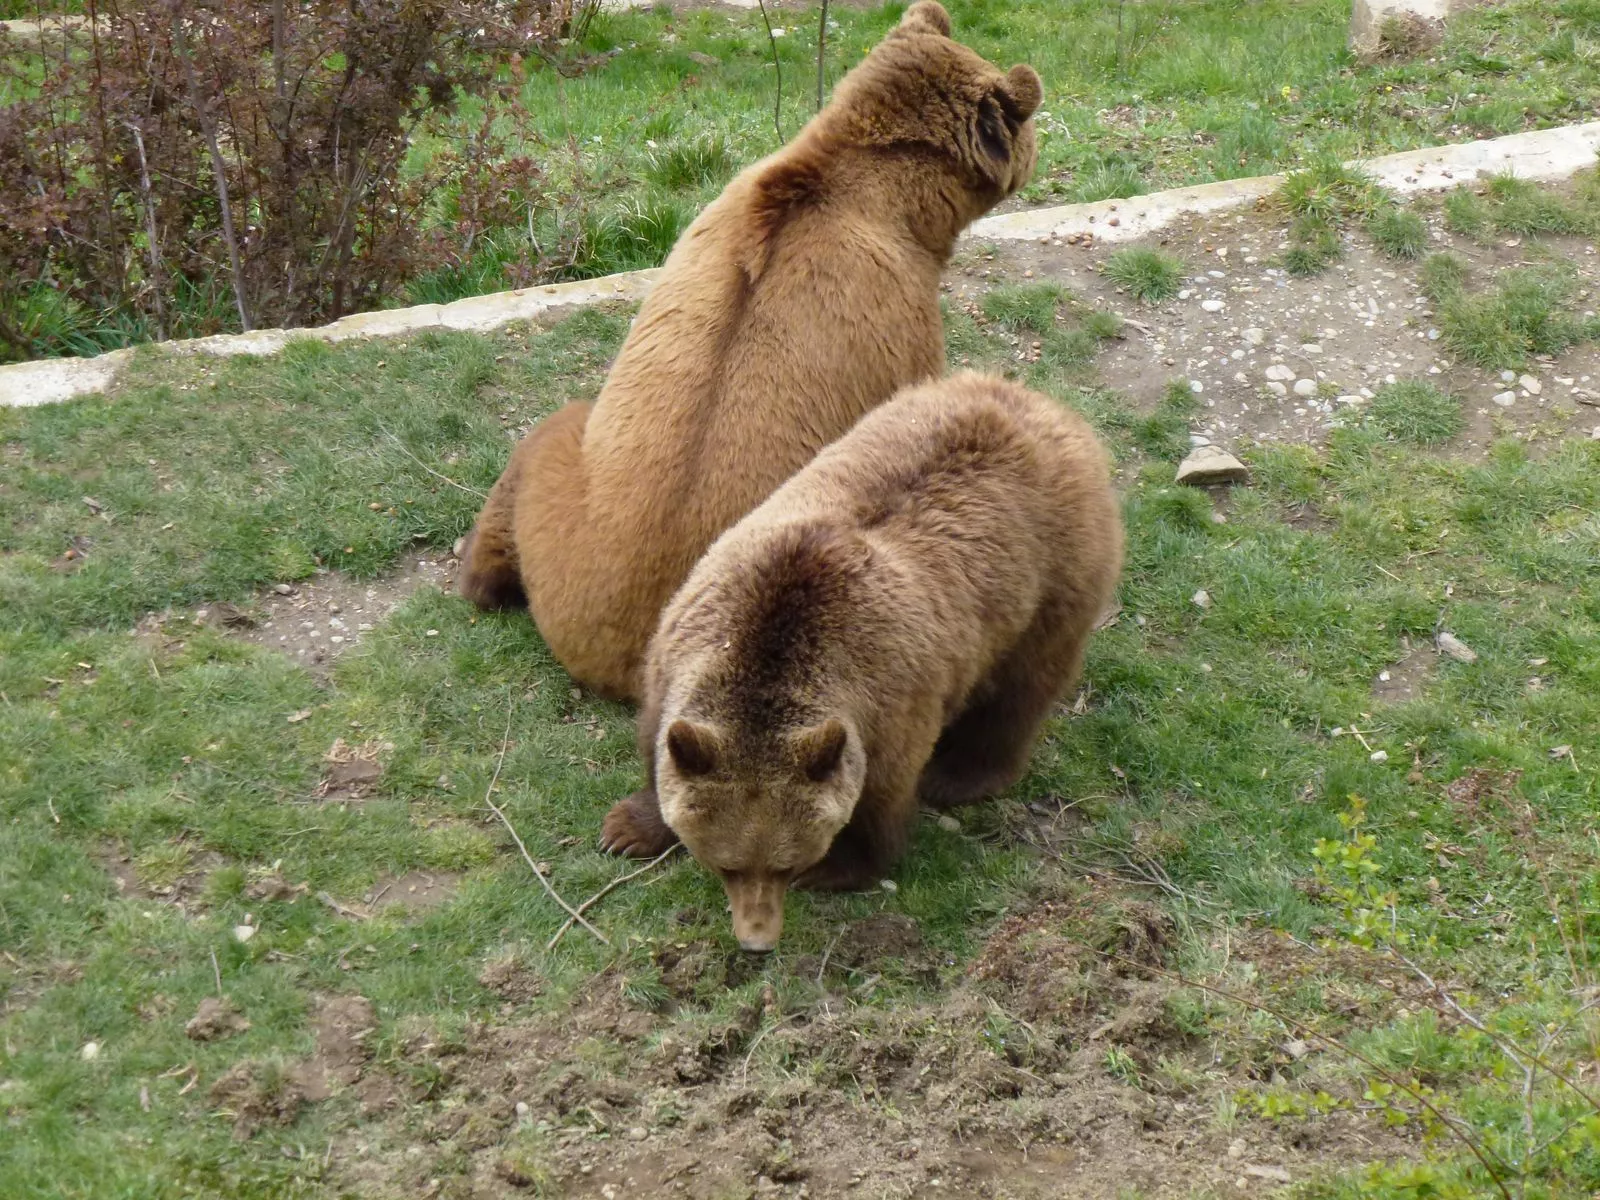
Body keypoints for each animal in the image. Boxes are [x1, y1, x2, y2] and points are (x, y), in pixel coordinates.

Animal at [454, 1, 1042, 701]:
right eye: (1026, 124)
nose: (1039, 144)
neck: (895, 201)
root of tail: (630, 656)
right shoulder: (901, 318)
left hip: (572, 500)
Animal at [599, 371, 1124, 952]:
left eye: (785, 865)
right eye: (726, 865)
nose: (757, 941)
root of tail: (1044, 404)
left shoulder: (889, 706)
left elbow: (880, 797)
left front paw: (840, 865)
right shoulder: (676, 651)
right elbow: (660, 748)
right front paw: (627, 829)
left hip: (1053, 579)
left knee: (1018, 694)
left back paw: (960, 775)